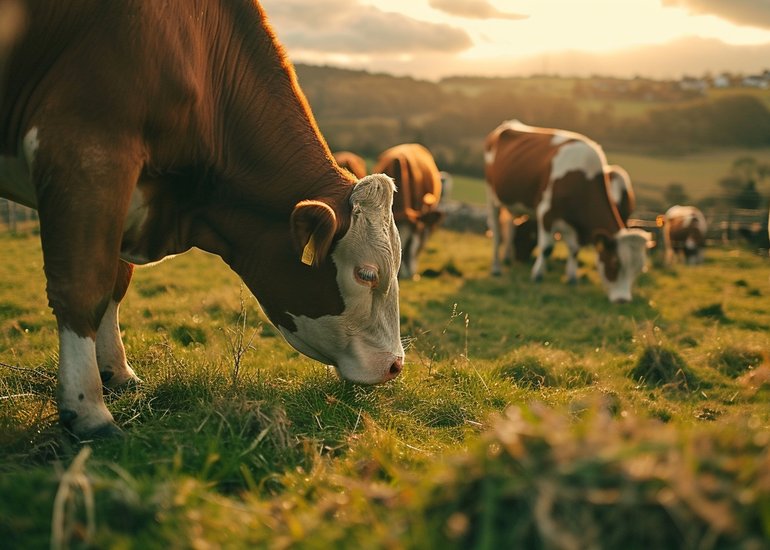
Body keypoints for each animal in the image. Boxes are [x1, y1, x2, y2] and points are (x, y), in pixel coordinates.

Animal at [0, 0, 404, 440]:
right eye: (366, 274)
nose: (395, 365)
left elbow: (115, 284)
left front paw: (118, 372)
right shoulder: (86, 152)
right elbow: (84, 286)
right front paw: (87, 409)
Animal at [484, 121, 652, 304]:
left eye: (638, 269)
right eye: (615, 263)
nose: (623, 300)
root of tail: (510, 124)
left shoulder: (573, 223)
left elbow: (574, 249)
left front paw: (572, 278)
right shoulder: (545, 212)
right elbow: (547, 248)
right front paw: (537, 275)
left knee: (510, 226)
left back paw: (507, 258)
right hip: (492, 196)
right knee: (497, 233)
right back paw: (496, 267)